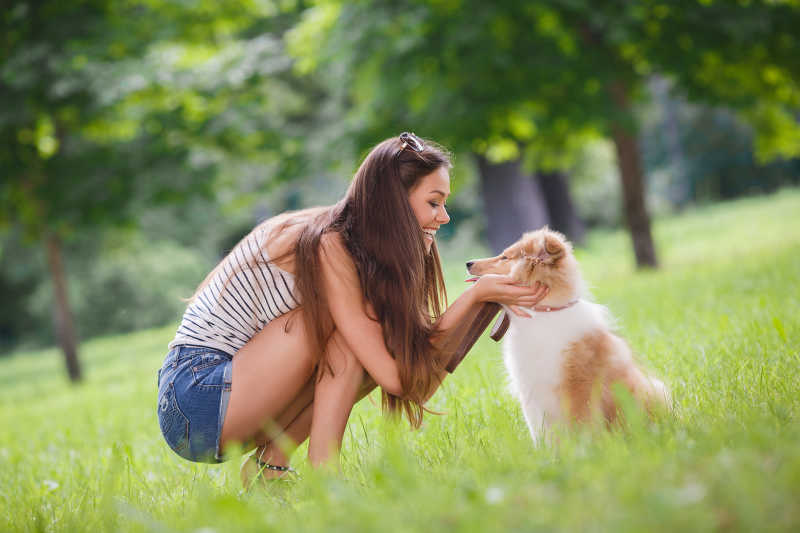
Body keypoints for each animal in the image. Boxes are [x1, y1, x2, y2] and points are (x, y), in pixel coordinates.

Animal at [468, 227, 668, 442]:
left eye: (505, 257)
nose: (468, 263)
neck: (542, 313)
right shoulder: (530, 393)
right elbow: (539, 432)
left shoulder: (579, 386)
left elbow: (581, 422)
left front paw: (585, 448)